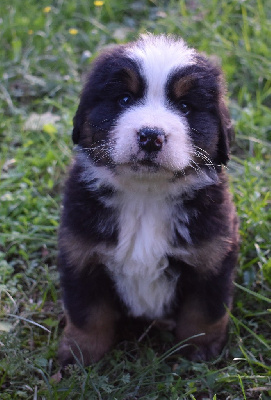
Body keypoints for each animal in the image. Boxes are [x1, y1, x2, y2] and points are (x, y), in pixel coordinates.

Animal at [58, 34, 240, 366]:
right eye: (124, 100)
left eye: (185, 106)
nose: (151, 136)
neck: (146, 196)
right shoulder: (80, 253)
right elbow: (87, 314)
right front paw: (78, 357)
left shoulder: (212, 256)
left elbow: (204, 313)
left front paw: (200, 350)